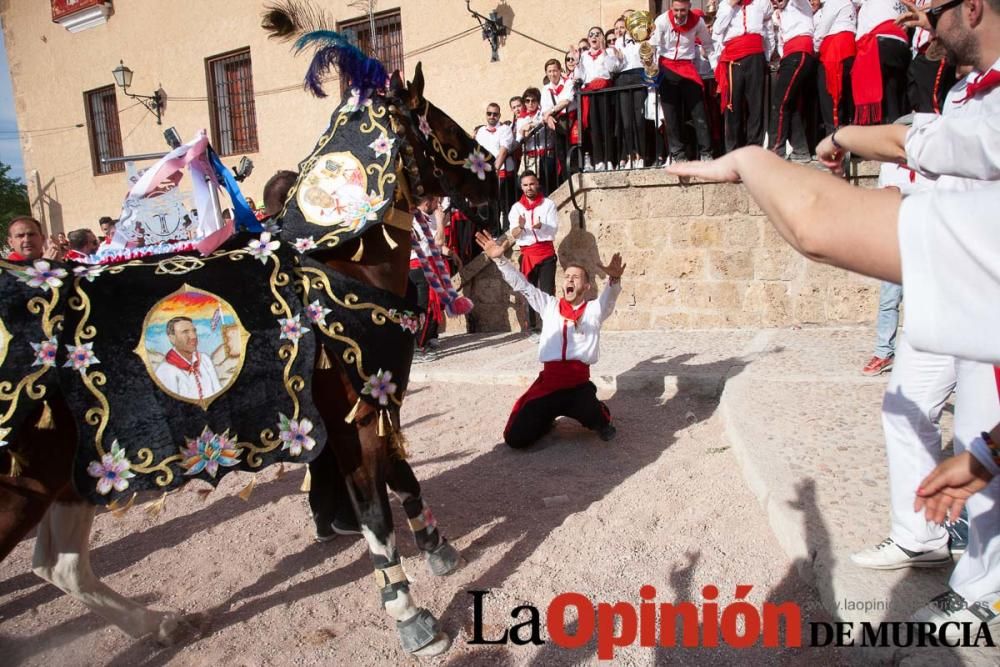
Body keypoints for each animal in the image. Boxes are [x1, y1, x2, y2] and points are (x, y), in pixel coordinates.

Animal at [0, 22, 498, 656]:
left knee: (60, 566)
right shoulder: (355, 415)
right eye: (440, 121)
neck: (335, 265)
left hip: (63, 476)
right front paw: (409, 614)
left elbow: (401, 474)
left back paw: (161, 625)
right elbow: (374, 508)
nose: (494, 167)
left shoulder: (372, 398)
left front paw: (438, 549)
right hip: (23, 488)